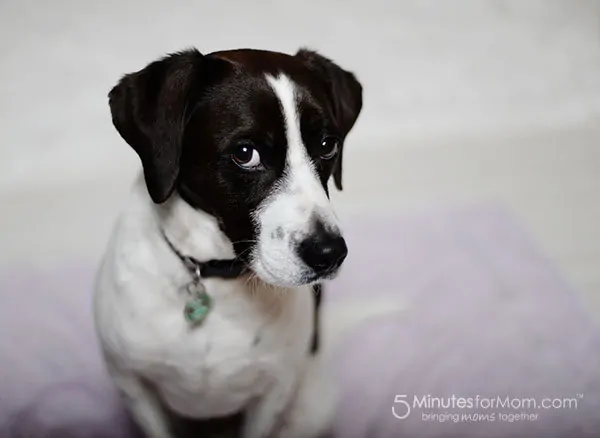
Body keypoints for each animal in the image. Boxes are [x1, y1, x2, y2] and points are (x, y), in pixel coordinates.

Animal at [94, 48, 372, 438]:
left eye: (327, 145)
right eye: (245, 153)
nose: (329, 254)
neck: (214, 278)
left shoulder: (273, 393)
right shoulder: (134, 387)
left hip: (312, 406)